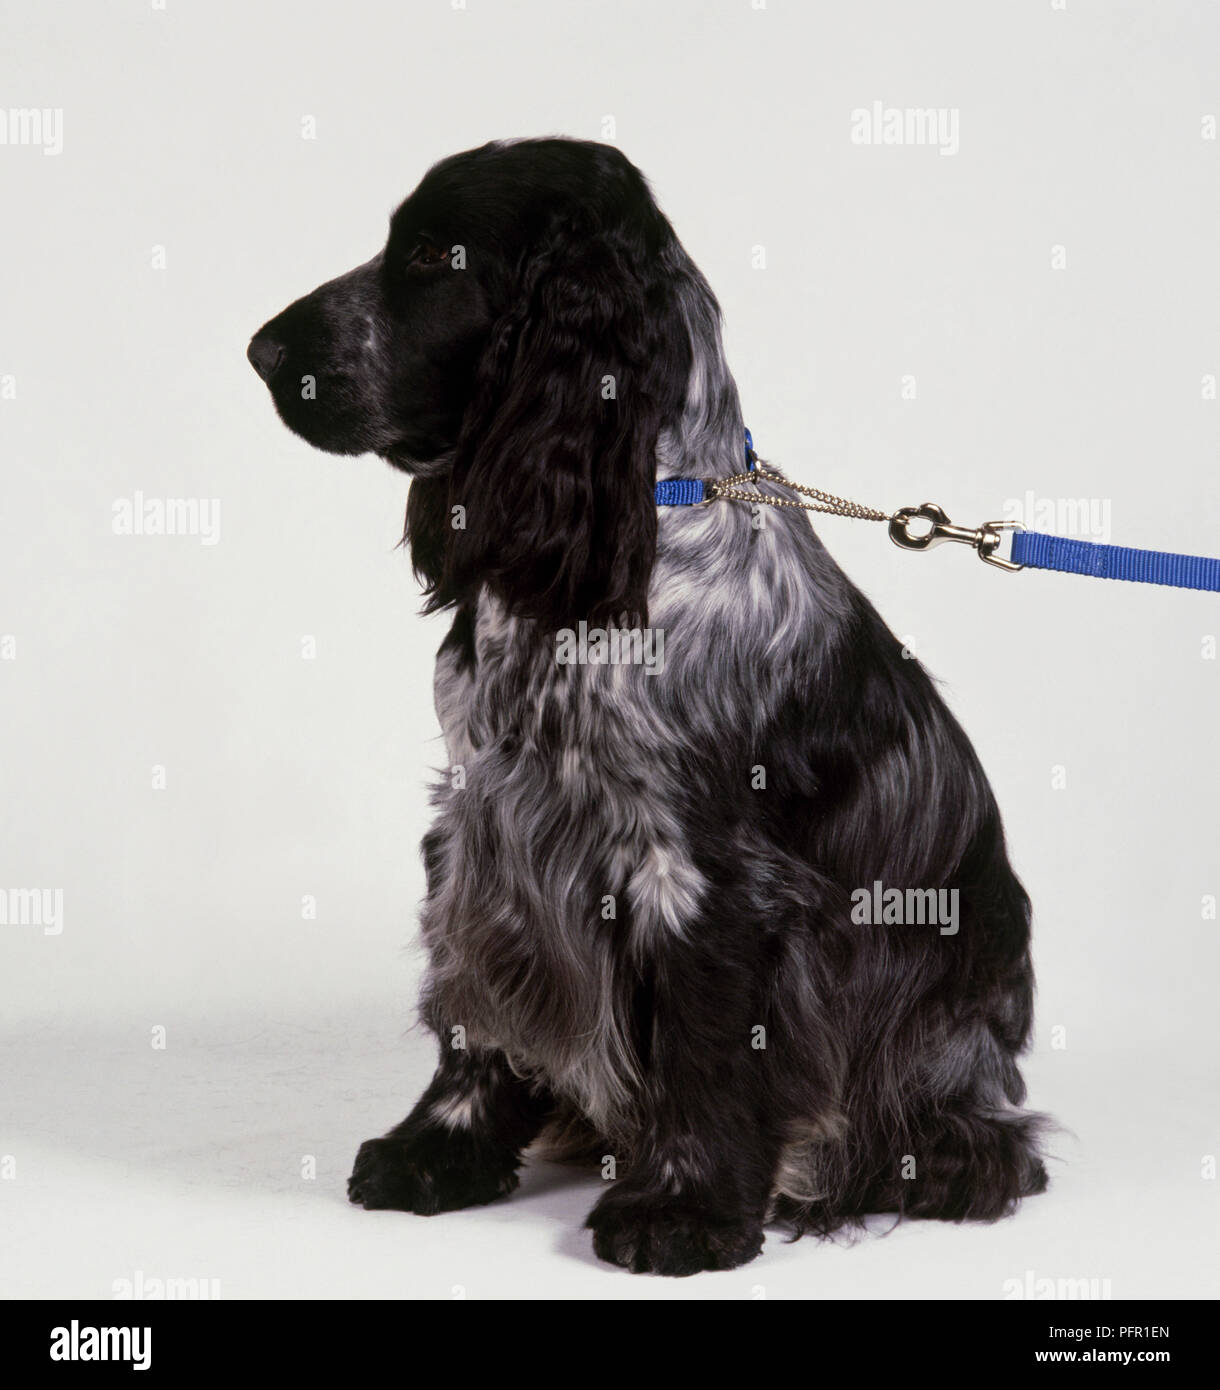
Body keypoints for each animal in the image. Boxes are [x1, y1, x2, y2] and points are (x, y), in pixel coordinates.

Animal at [248, 135, 1050, 1273]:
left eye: (437, 256)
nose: (263, 351)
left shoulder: (699, 870)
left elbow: (703, 1045)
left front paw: (681, 1209)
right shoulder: (480, 826)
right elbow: (469, 1008)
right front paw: (436, 1151)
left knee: (983, 1147)